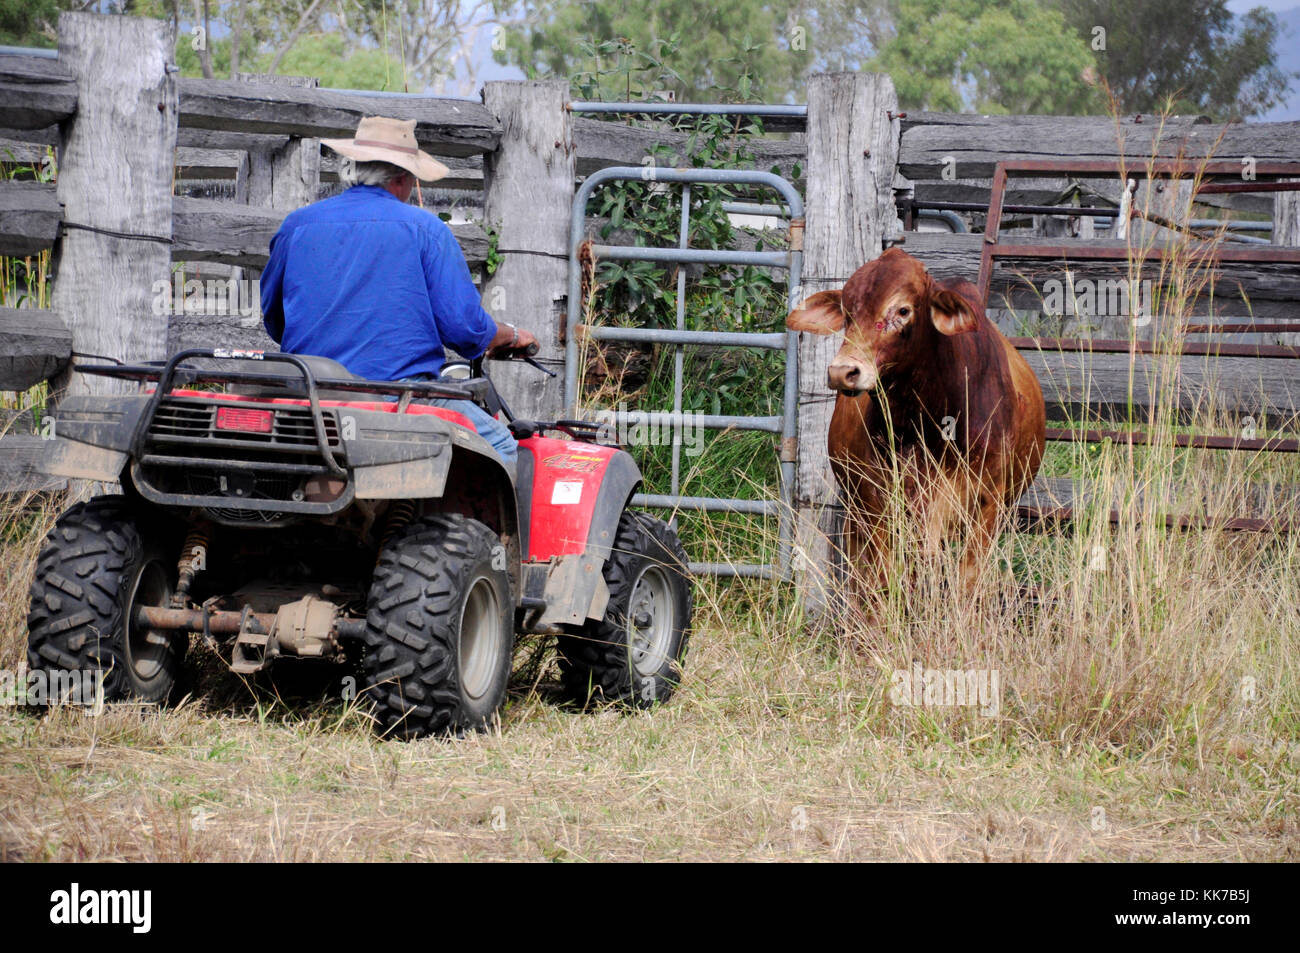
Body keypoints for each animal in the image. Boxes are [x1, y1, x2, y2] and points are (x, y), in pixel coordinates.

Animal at [780, 249, 1045, 605]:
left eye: (903, 310)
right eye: (848, 313)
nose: (843, 371)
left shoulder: (987, 504)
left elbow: (967, 583)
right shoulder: (877, 505)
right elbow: (884, 580)